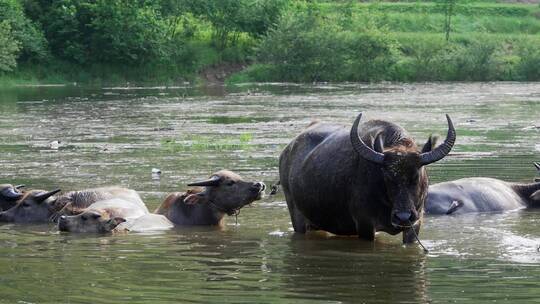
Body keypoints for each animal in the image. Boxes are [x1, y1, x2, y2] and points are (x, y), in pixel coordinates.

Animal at [280, 113, 458, 243]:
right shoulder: (365, 225)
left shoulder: (415, 223)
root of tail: (287, 151)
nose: (403, 217)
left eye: (416, 176)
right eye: (387, 177)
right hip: (297, 218)